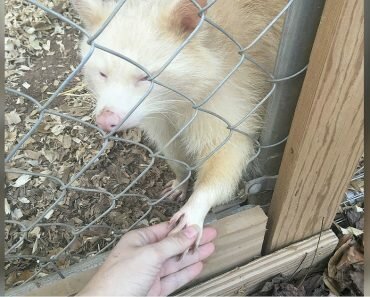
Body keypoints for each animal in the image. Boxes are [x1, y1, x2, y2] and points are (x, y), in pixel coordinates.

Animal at [73, 0, 284, 245]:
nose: (106, 121)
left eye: (145, 77)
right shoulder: (158, 116)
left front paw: (200, 200)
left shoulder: (228, 84)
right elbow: (171, 146)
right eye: (102, 74)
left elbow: (229, 150)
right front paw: (182, 177)